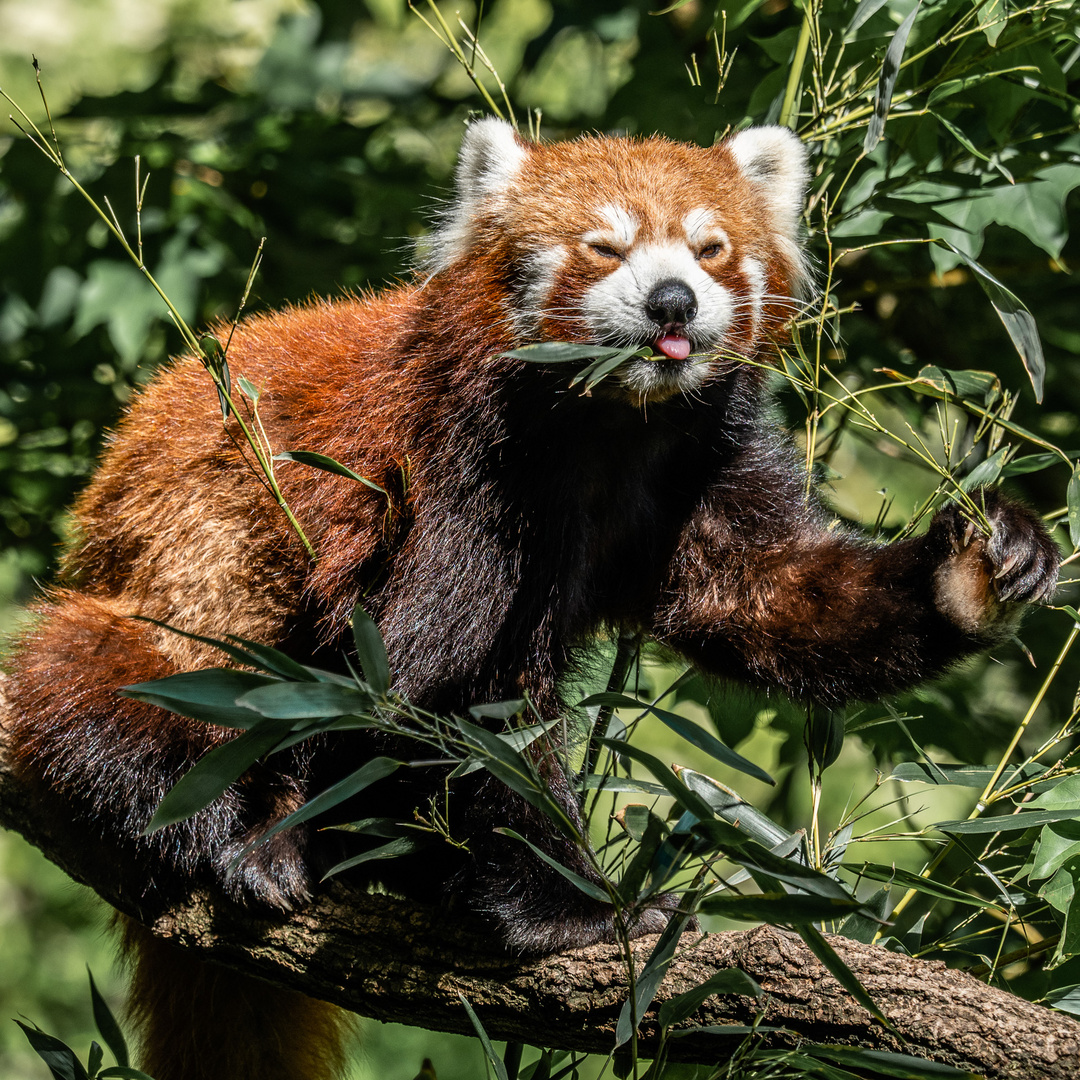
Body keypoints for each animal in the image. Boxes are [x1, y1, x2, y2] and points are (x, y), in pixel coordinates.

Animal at [2, 118, 1062, 1080]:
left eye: (710, 249)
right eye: (606, 246)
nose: (674, 300)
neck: (612, 426)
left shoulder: (695, 472)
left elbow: (770, 598)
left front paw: (976, 571)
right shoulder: (461, 474)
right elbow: (441, 695)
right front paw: (575, 910)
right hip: (169, 604)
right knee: (120, 687)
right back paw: (239, 831)